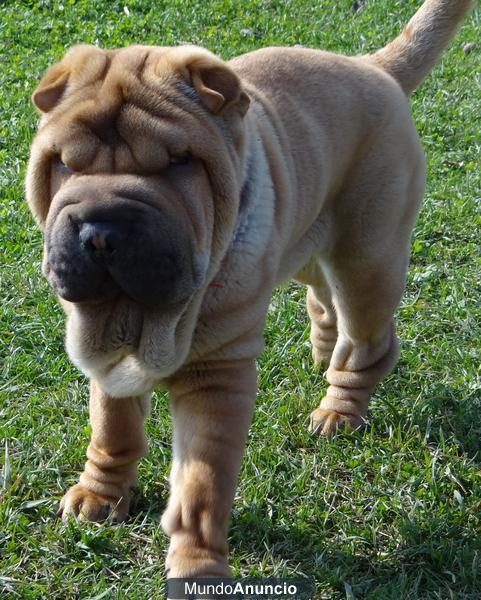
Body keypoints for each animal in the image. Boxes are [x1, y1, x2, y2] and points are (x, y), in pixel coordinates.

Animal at [26, 0, 472, 580]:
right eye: (64, 163)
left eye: (179, 162)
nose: (101, 231)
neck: (151, 319)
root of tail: (372, 66)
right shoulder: (105, 347)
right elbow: (112, 426)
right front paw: (100, 495)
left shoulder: (219, 376)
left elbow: (201, 486)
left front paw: (196, 566)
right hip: (305, 237)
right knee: (322, 299)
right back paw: (323, 354)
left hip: (366, 258)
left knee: (368, 339)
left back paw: (339, 409)